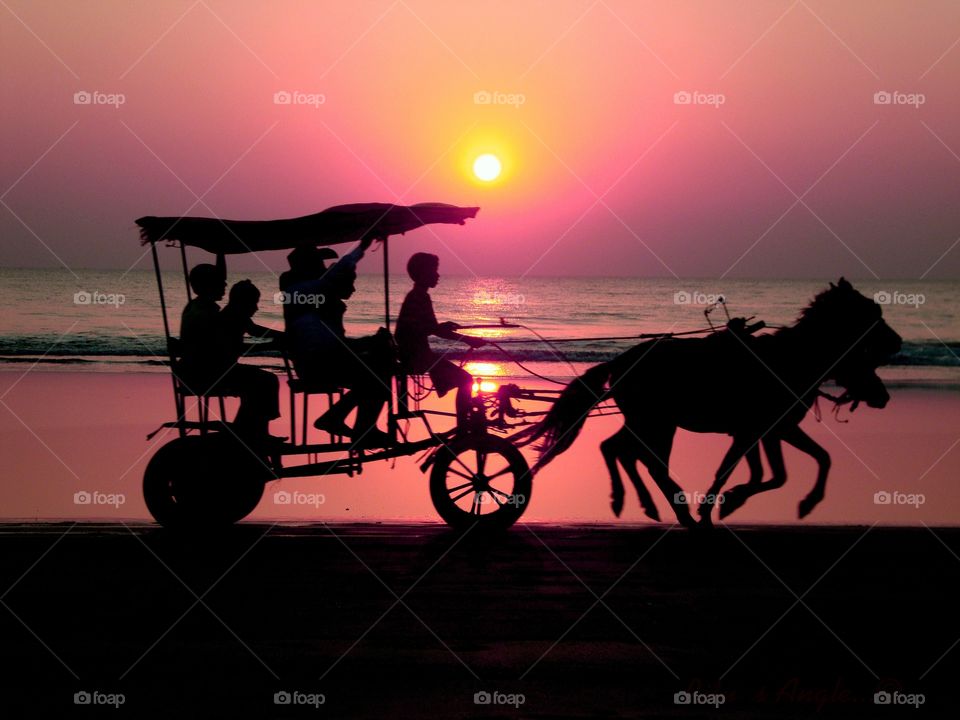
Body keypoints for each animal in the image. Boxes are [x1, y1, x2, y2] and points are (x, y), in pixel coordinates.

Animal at [516, 280, 900, 528]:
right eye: (872, 312)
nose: (896, 342)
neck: (789, 360)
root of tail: (620, 361)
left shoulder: (768, 429)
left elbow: (800, 464)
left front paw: (733, 503)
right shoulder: (763, 430)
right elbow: (759, 473)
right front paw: (724, 504)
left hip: (650, 422)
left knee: (618, 449)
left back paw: (649, 504)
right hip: (655, 422)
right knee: (641, 458)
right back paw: (667, 506)